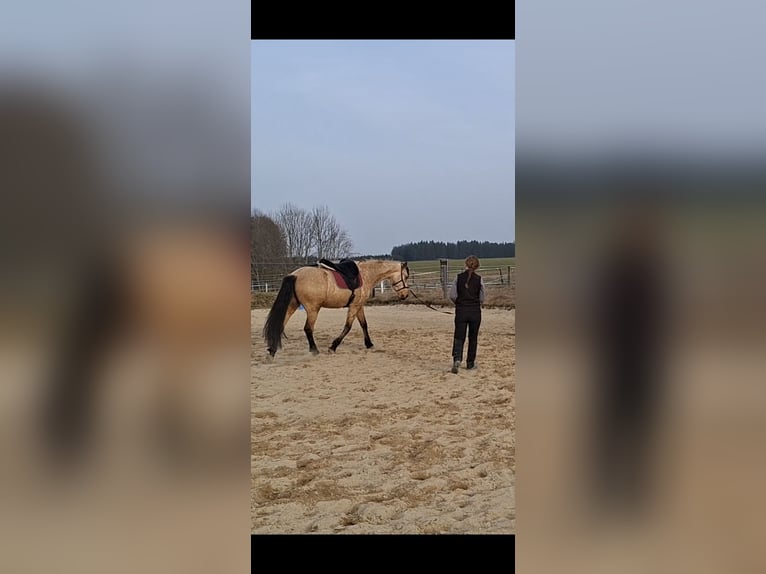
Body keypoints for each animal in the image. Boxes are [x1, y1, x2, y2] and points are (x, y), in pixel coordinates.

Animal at [263, 260, 410, 356]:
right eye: (406, 276)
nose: (405, 295)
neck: (366, 275)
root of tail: (295, 275)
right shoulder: (354, 306)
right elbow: (348, 327)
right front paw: (333, 346)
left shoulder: (358, 306)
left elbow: (364, 324)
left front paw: (369, 344)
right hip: (313, 309)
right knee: (308, 328)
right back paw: (314, 350)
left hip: (293, 305)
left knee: (280, 324)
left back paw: (272, 350)